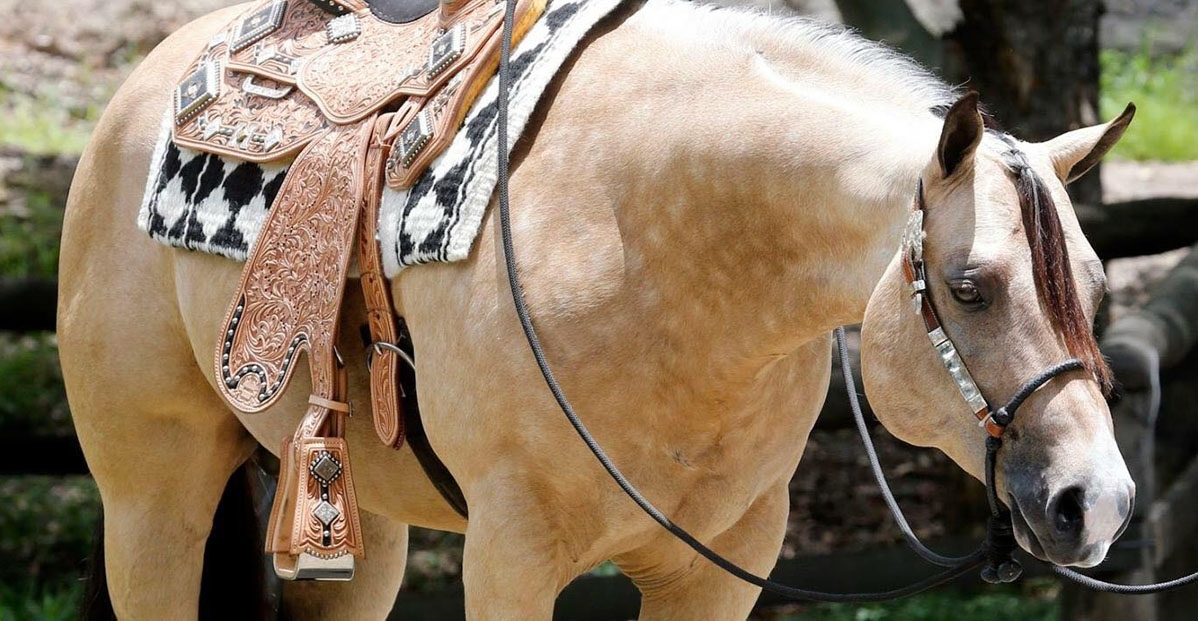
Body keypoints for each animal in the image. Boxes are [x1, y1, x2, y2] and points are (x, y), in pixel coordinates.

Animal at [60, 2, 1135, 618]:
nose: (1096, 501)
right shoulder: (511, 558)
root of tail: (142, 86)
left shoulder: (722, 570)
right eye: (970, 287)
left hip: (351, 537)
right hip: (153, 502)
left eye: (1094, 289)